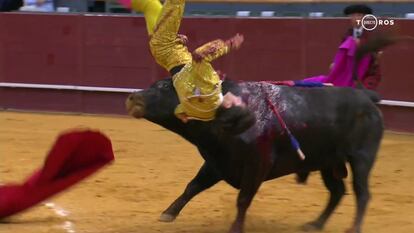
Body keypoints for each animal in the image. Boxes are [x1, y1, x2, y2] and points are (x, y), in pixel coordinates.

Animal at [125, 79, 382, 233]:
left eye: (164, 87)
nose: (132, 97)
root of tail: (366, 97)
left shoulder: (257, 165)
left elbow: (243, 199)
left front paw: (235, 228)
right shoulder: (216, 162)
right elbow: (193, 186)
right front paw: (168, 213)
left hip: (361, 158)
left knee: (362, 193)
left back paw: (354, 228)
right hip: (327, 162)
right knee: (337, 191)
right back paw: (315, 224)